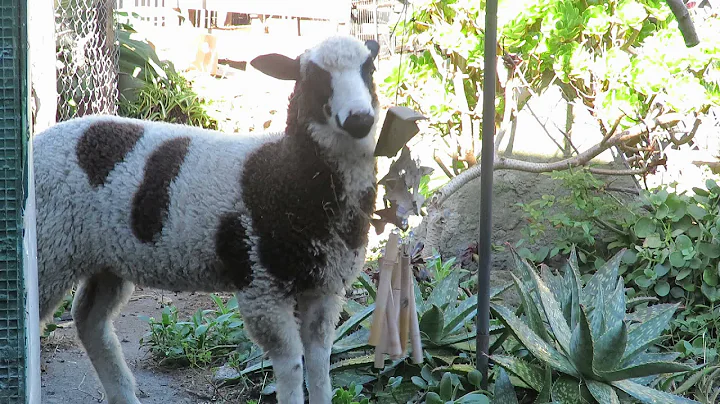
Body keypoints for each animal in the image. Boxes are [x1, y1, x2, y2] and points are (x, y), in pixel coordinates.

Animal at [35, 35, 382, 404]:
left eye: (369, 70)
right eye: (315, 77)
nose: (360, 119)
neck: (283, 172)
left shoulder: (326, 286)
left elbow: (319, 364)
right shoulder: (260, 285)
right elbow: (291, 364)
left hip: (106, 259)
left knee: (89, 318)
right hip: (49, 249)